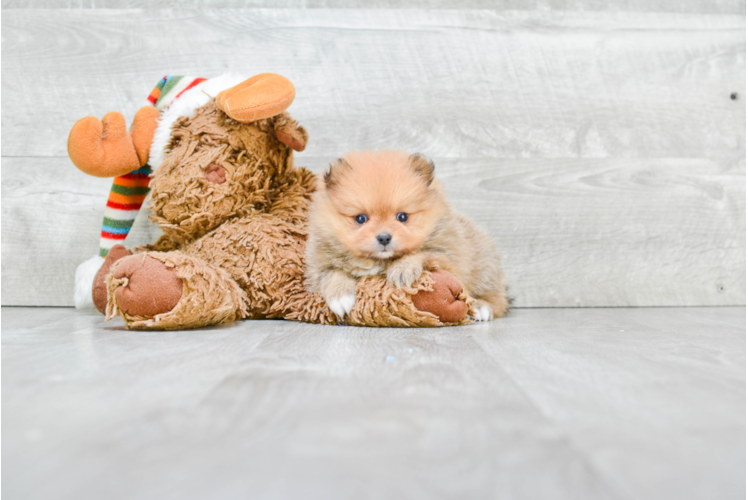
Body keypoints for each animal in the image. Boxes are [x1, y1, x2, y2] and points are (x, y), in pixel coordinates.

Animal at [304, 149, 508, 320]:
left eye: (402, 217)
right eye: (361, 219)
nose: (384, 237)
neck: (380, 261)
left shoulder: (448, 258)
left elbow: (422, 253)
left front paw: (402, 269)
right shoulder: (317, 266)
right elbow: (332, 273)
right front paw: (340, 296)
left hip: (483, 268)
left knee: (498, 298)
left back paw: (481, 307)